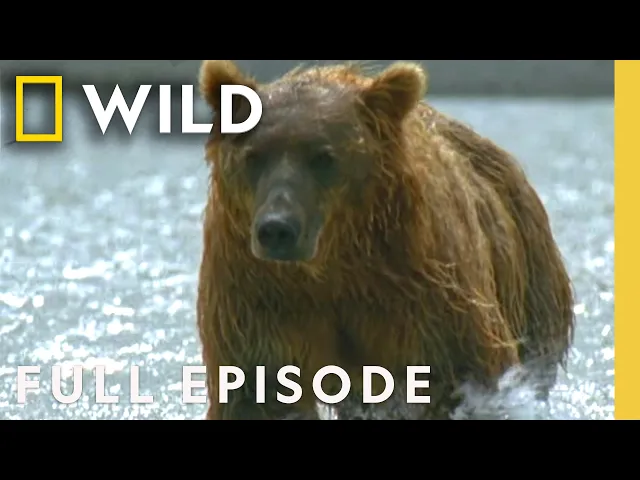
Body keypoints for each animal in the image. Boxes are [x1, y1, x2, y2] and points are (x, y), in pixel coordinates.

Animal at [195, 60, 575, 420]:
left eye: (323, 156)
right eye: (253, 156)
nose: (277, 228)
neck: (333, 264)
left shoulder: (422, 289)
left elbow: (460, 375)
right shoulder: (259, 296)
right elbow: (260, 394)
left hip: (531, 279)